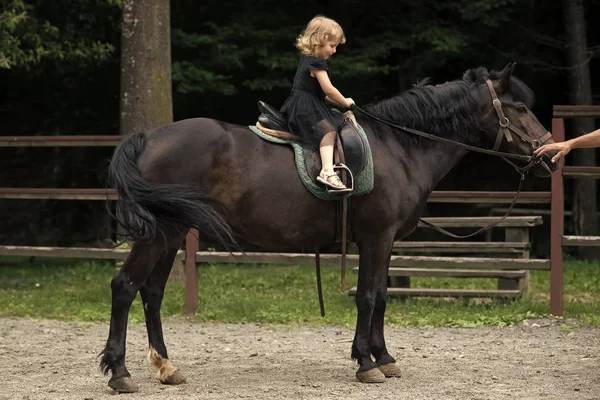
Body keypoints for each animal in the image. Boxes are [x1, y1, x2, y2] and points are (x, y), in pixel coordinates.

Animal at [97, 64, 556, 392]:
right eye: (518, 108)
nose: (550, 154)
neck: (400, 148)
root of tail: (148, 137)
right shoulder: (376, 237)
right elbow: (367, 297)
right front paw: (367, 363)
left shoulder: (385, 242)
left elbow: (382, 297)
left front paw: (384, 358)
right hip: (158, 234)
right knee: (124, 287)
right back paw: (120, 373)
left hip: (173, 233)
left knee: (152, 293)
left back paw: (166, 367)